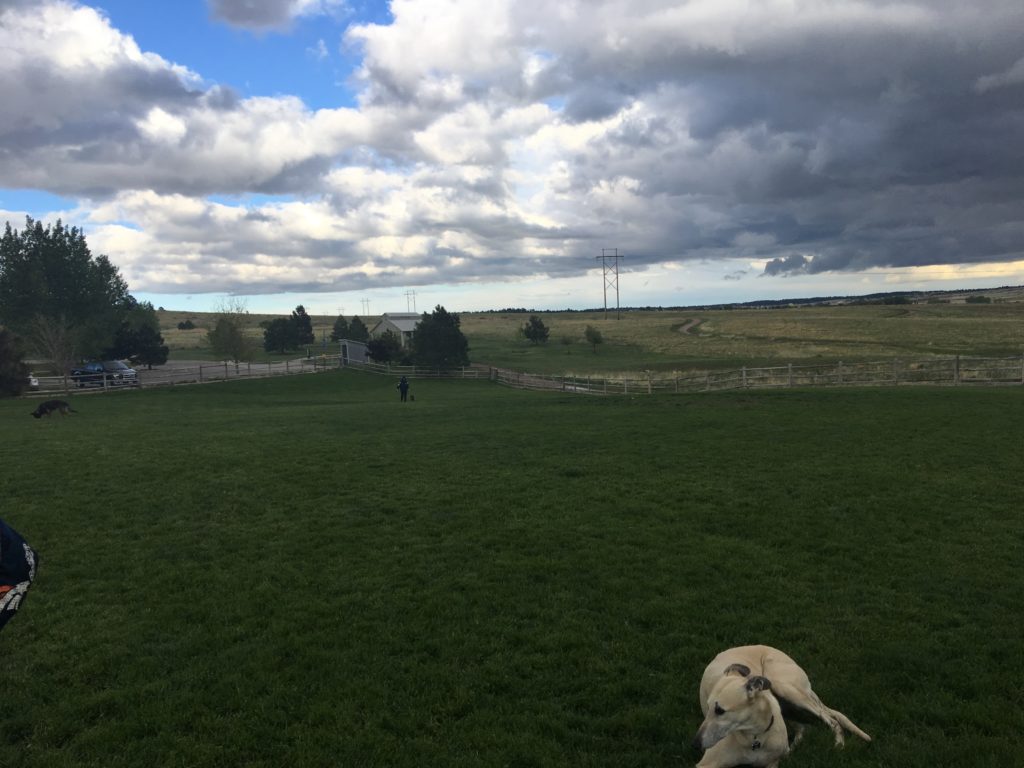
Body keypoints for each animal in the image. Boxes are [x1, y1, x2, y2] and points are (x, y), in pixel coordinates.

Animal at [692, 647, 868, 765]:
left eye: (720, 710)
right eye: (708, 707)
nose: (695, 744)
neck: (754, 738)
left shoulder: (771, 763)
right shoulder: (707, 764)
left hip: (786, 688)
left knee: (831, 719)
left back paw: (839, 743)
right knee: (803, 727)